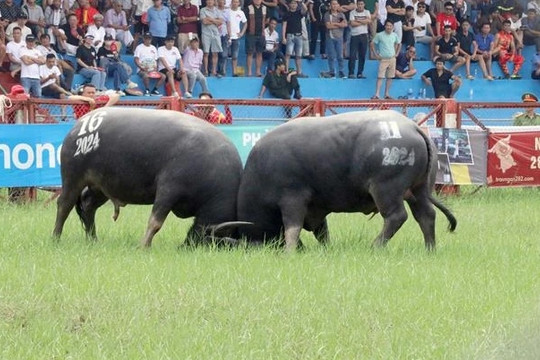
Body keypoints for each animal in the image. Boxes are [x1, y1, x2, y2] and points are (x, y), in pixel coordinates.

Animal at [52, 108, 243, 246]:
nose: (186, 246)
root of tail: (78, 125)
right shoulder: (168, 190)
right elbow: (155, 222)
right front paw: (144, 245)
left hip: (101, 187)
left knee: (88, 205)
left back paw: (93, 239)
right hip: (72, 178)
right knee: (64, 205)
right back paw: (56, 237)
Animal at [236, 109, 456, 250]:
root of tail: (412, 127)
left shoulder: (293, 198)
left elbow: (293, 227)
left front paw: (289, 251)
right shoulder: (316, 206)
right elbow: (321, 231)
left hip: (386, 189)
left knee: (397, 216)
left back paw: (375, 246)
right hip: (419, 191)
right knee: (426, 215)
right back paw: (430, 248)